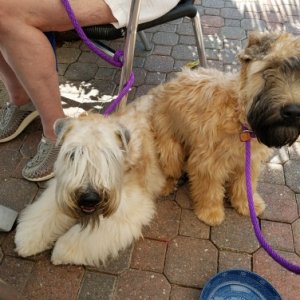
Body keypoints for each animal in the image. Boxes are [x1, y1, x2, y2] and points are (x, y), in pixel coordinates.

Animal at [14, 96, 166, 268]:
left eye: (108, 156)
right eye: (73, 154)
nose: (89, 198)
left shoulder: (128, 207)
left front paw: (62, 250)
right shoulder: (62, 186)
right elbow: (45, 212)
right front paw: (29, 237)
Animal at [151, 31, 300, 226]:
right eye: (269, 69)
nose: (293, 111)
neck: (239, 117)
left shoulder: (248, 161)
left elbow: (244, 184)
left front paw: (247, 204)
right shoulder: (207, 162)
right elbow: (209, 189)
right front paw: (210, 212)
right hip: (170, 150)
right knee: (168, 168)